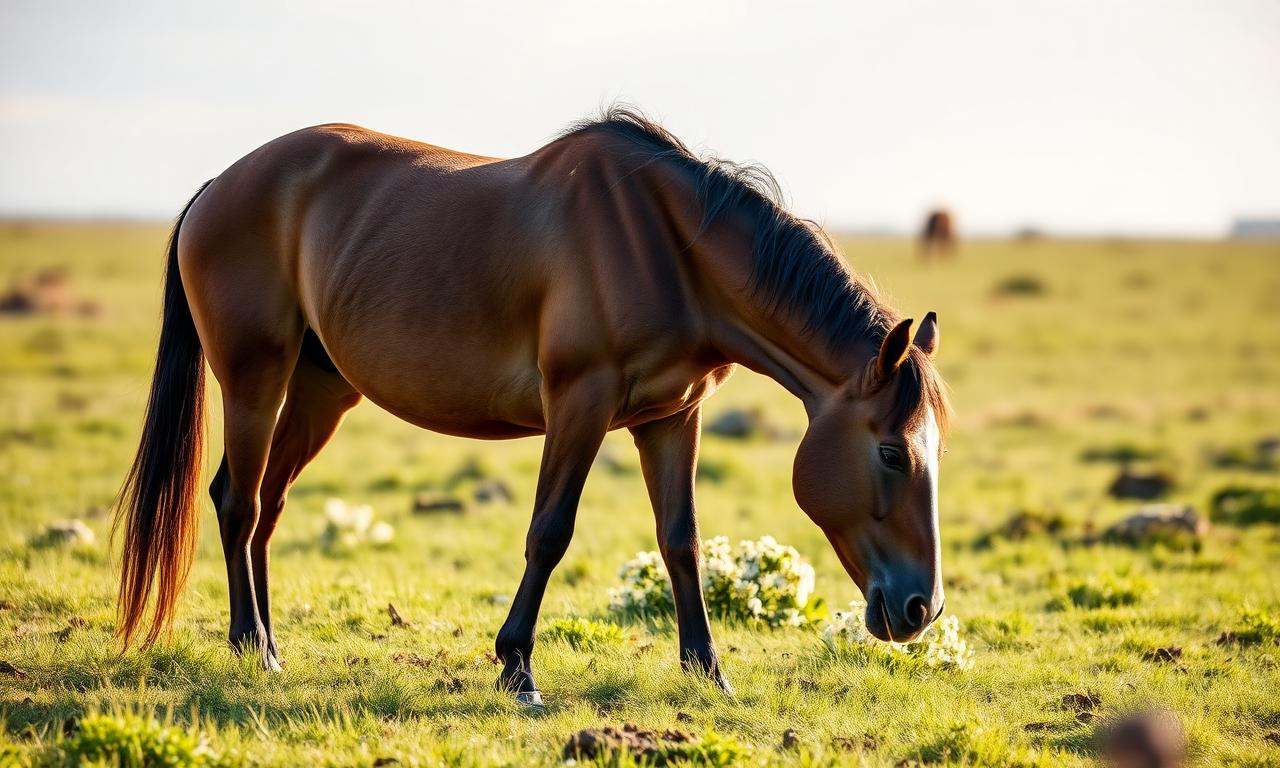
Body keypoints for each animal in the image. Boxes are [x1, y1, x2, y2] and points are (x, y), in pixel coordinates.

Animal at [115, 107, 951, 703]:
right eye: (890, 450)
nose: (923, 609)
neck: (667, 247)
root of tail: (219, 186)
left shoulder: (670, 417)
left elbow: (681, 540)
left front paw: (708, 671)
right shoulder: (580, 402)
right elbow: (549, 532)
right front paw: (517, 667)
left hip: (323, 388)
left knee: (268, 503)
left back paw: (263, 642)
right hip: (253, 376)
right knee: (240, 501)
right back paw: (253, 647)